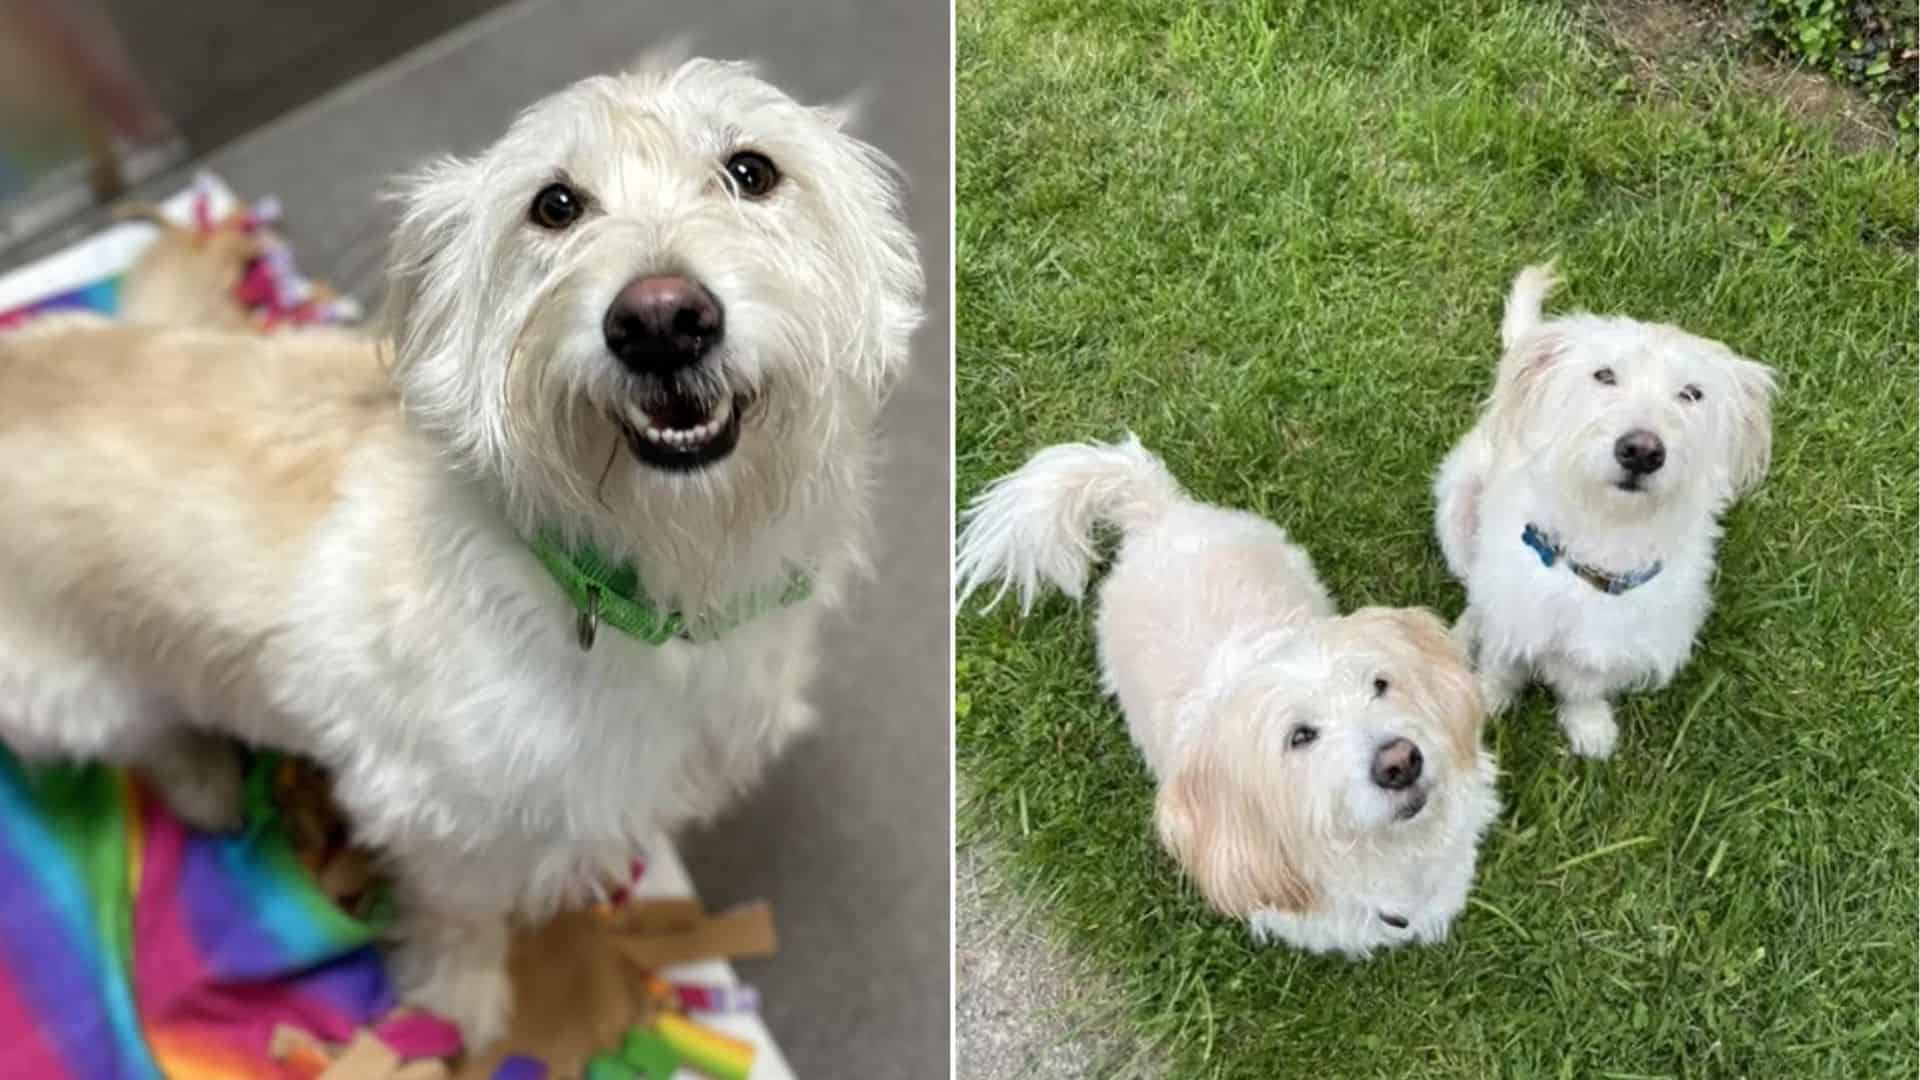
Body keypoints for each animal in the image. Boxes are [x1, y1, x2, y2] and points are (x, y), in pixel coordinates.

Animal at [0, 56, 921, 1045]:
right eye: (554, 204)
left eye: (752, 171)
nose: (661, 321)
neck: (639, 576)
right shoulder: (433, 813)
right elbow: (463, 915)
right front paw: (460, 1006)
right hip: (68, 694)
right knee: (148, 740)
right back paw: (207, 779)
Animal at [1436, 263, 1774, 757]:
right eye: (1604, 375)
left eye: (1692, 393)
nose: (1642, 451)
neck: (1607, 535)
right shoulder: (1515, 613)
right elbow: (1502, 663)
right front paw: (1487, 699)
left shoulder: (1613, 643)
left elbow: (1584, 688)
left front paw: (1590, 728)